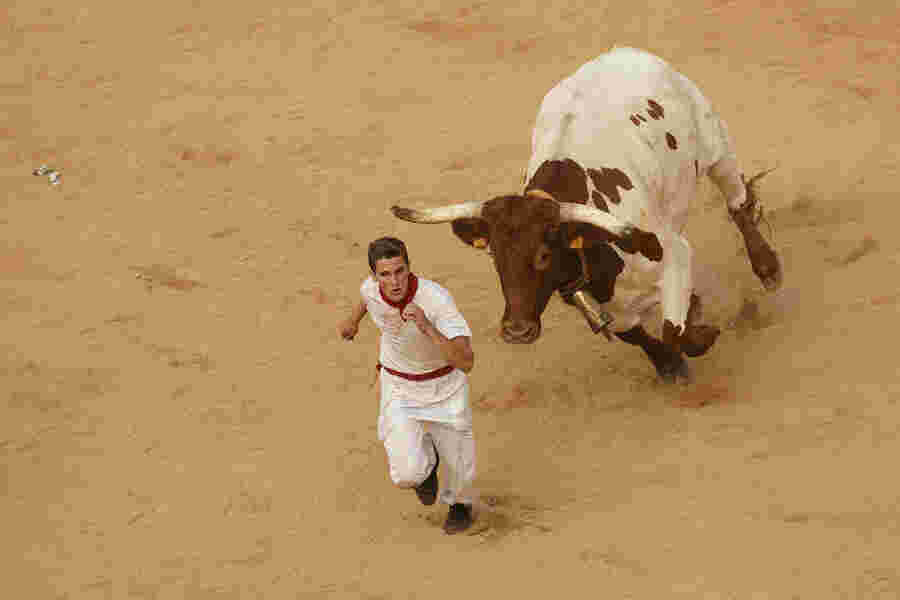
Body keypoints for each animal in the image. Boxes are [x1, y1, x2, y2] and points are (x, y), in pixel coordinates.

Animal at [390, 47, 782, 382]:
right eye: (494, 256)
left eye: (544, 254)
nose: (517, 331)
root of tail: (623, 53)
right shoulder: (606, 305)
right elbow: (638, 334)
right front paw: (668, 363)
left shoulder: (674, 254)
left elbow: (675, 330)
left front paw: (701, 333)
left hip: (714, 142)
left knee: (738, 203)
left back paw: (767, 268)